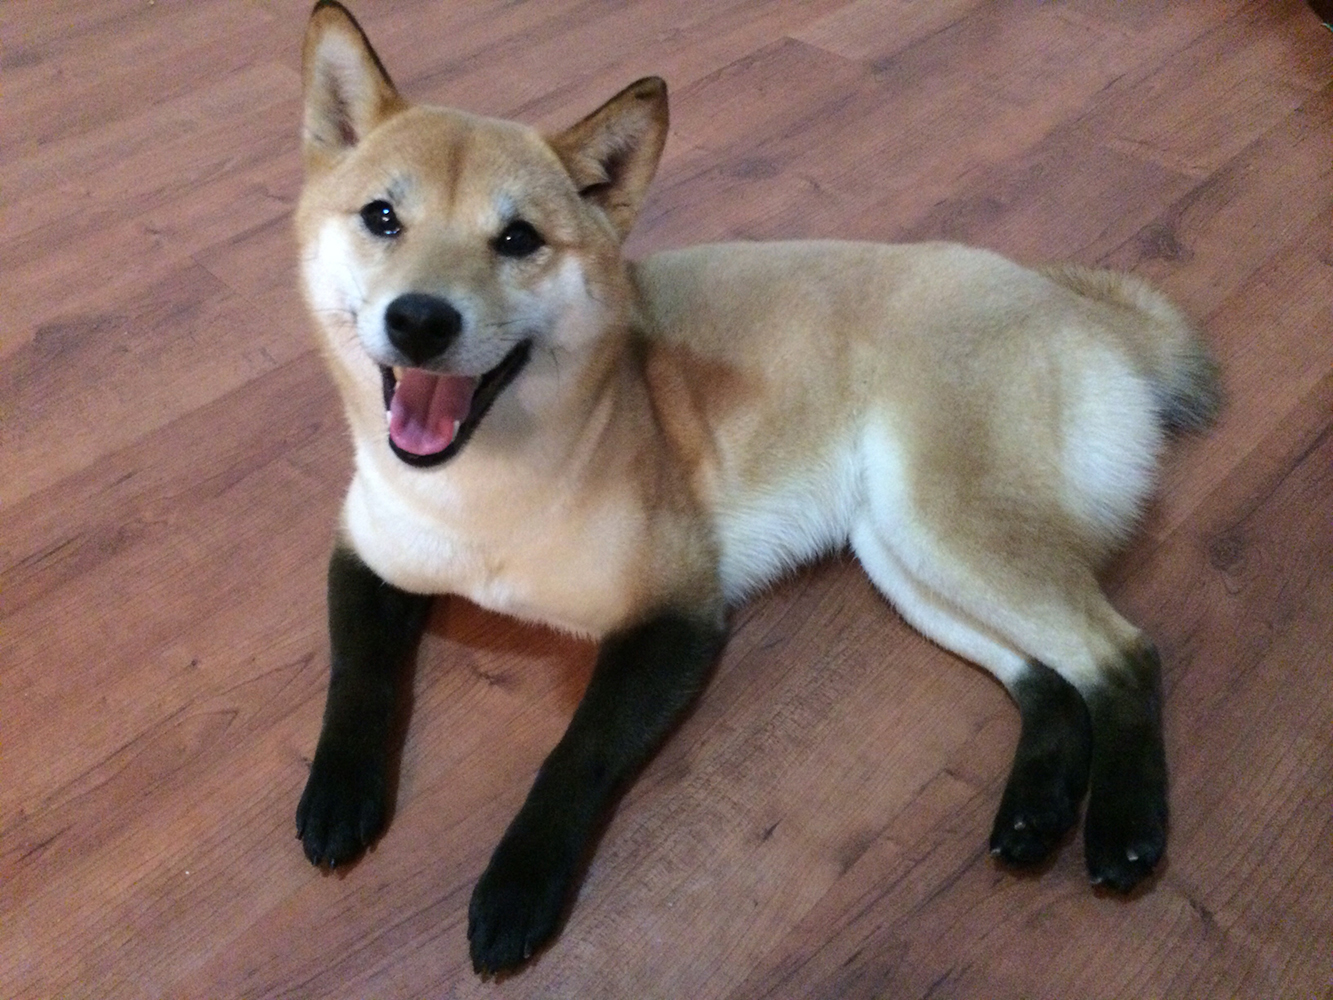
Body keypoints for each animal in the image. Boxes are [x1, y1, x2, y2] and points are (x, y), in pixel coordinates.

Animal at [291, 0, 1221, 970]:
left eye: (517, 240)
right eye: (382, 217)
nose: (419, 320)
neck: (479, 493)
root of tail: (1082, 311)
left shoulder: (675, 616)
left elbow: (574, 757)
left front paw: (518, 883)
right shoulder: (367, 558)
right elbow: (356, 680)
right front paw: (339, 793)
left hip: (942, 523)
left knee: (1121, 655)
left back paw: (1124, 827)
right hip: (898, 549)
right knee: (1049, 681)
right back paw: (1035, 812)